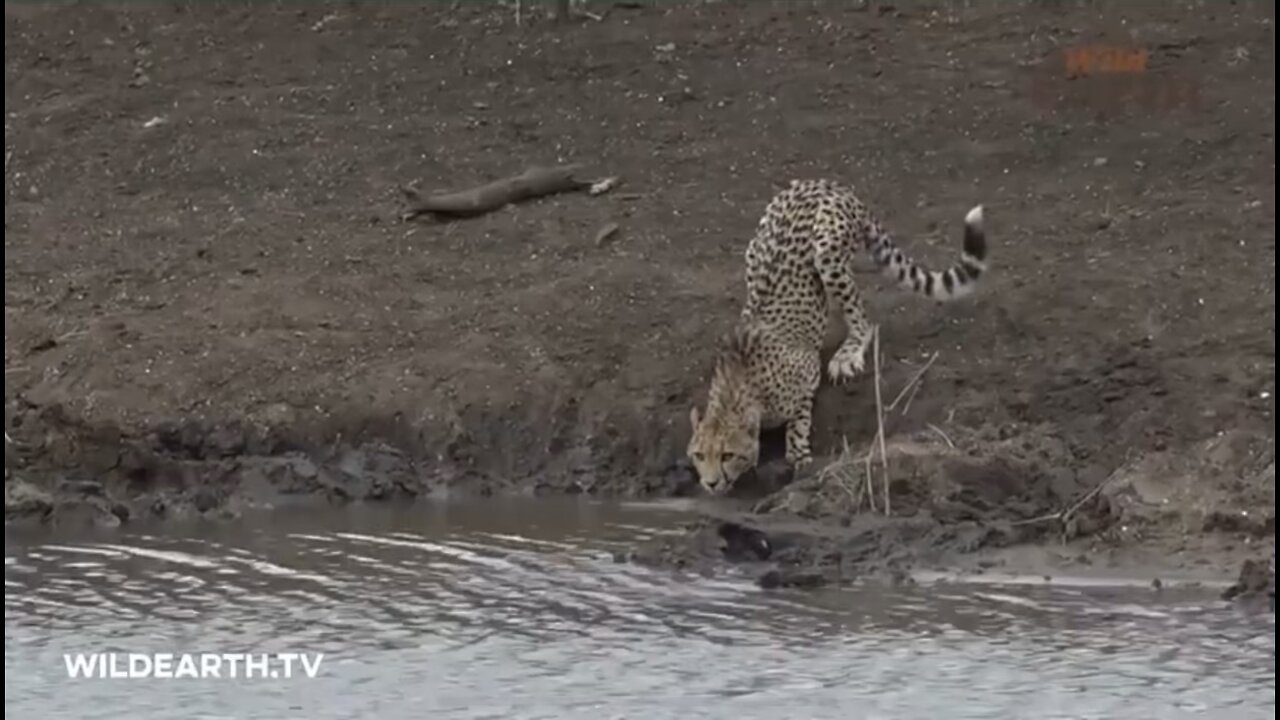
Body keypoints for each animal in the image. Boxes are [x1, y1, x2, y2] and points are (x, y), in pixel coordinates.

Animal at [686, 178, 983, 491]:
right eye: (699, 455)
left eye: (727, 455)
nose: (710, 483)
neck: (736, 387)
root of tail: (822, 182)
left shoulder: (806, 372)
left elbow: (799, 418)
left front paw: (797, 452)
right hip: (755, 249)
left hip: (826, 252)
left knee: (863, 320)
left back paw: (848, 352)